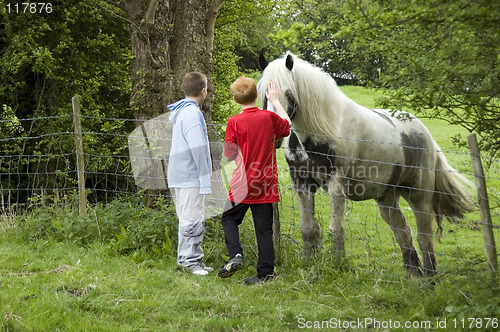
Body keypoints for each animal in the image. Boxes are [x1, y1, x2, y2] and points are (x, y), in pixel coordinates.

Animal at [260, 53, 474, 276]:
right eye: (264, 92)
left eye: (288, 92)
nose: (274, 133)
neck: (321, 131)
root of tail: (424, 132)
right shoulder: (302, 183)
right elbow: (308, 227)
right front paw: (309, 263)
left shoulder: (336, 186)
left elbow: (336, 228)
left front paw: (338, 265)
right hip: (387, 198)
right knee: (403, 232)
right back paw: (413, 276)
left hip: (418, 195)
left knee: (424, 236)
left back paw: (429, 278)